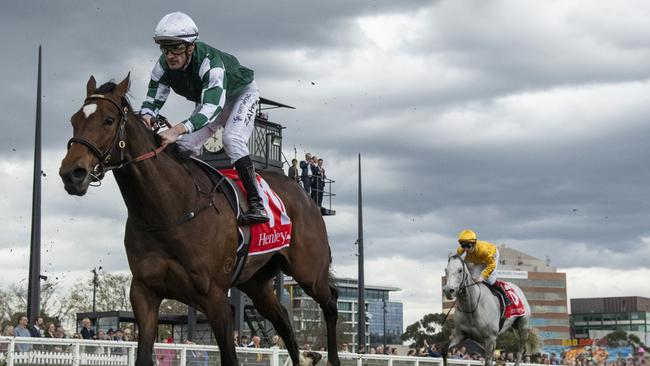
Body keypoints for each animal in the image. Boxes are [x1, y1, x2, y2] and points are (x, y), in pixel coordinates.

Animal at [58, 75, 340, 366]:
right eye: (74, 119)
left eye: (108, 120)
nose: (72, 173)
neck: (169, 210)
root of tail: (305, 195)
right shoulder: (144, 292)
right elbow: (144, 355)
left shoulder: (215, 297)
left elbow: (230, 357)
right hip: (257, 282)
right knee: (283, 318)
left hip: (308, 271)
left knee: (331, 301)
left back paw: (333, 357)